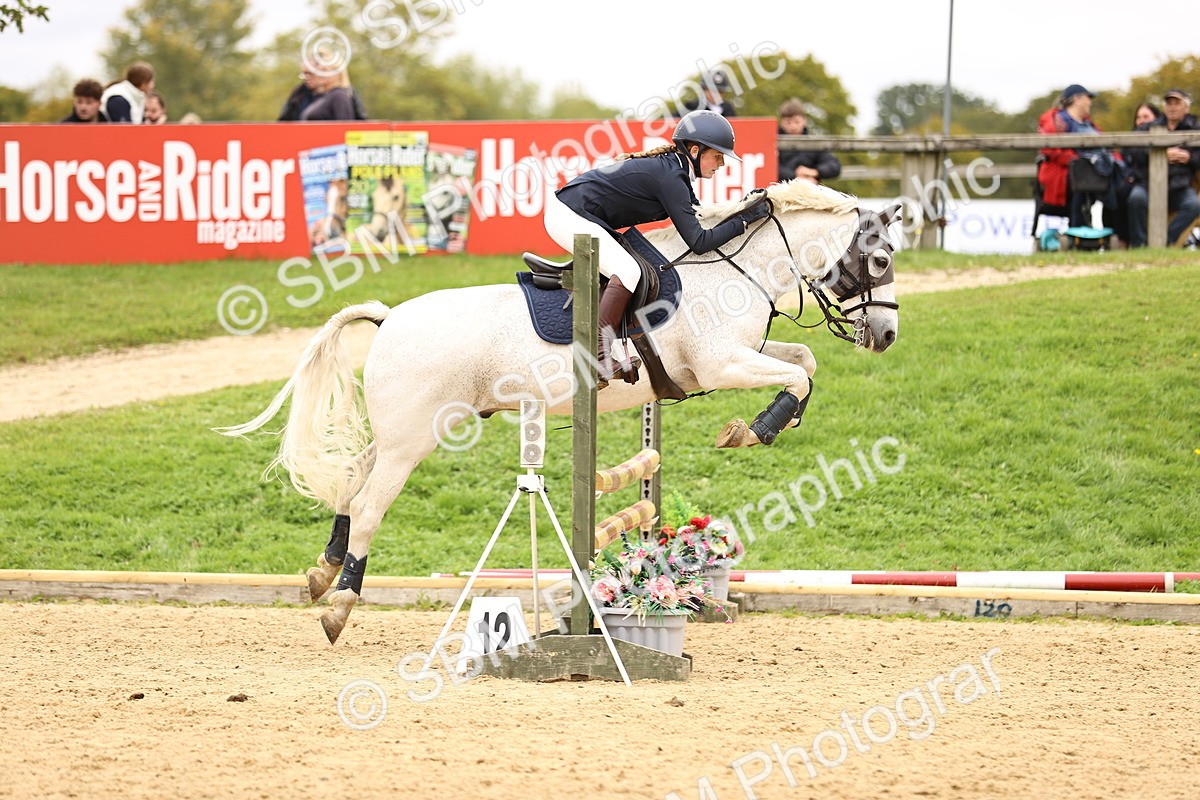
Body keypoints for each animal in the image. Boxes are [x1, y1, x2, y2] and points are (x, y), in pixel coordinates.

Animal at [218, 179, 902, 643]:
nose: (888, 338)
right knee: (368, 505)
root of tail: (390, 318)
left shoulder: (731, 359)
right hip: (415, 438)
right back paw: (340, 606)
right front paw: (752, 430)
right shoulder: (718, 365)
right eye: (880, 260)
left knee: (351, 480)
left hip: (400, 433)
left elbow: (803, 360)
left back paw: (321, 573)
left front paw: (766, 423)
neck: (736, 271)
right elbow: (797, 372)